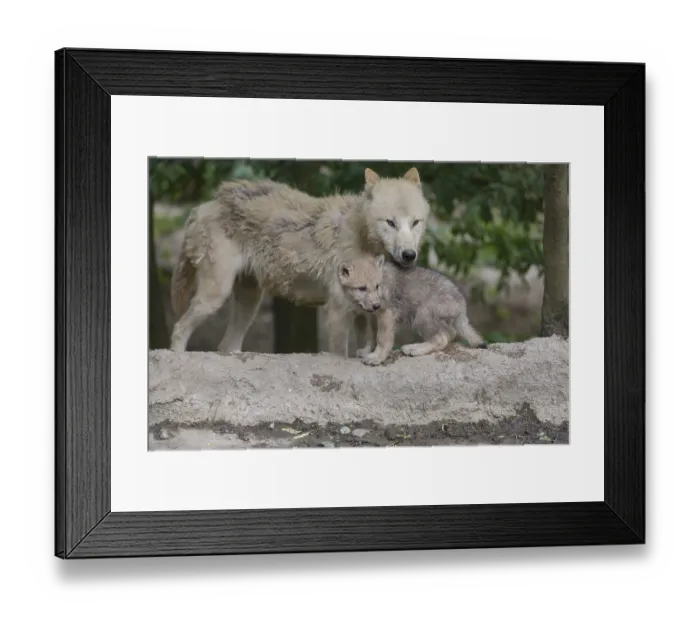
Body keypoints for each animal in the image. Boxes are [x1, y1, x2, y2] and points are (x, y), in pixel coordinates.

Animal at [169, 167, 431, 355]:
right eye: (390, 223)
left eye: (415, 222)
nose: (409, 255)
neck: (361, 236)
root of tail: (203, 206)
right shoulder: (338, 309)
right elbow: (340, 354)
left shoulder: (365, 307)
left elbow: (367, 342)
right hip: (215, 296)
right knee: (179, 330)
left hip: (249, 302)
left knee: (225, 346)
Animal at [334, 254, 487, 365]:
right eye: (361, 288)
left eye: (377, 286)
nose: (376, 305)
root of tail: (462, 306)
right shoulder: (373, 316)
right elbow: (372, 336)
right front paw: (367, 351)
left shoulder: (386, 314)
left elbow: (382, 339)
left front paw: (377, 358)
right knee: (450, 334)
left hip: (421, 317)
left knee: (441, 339)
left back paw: (414, 348)